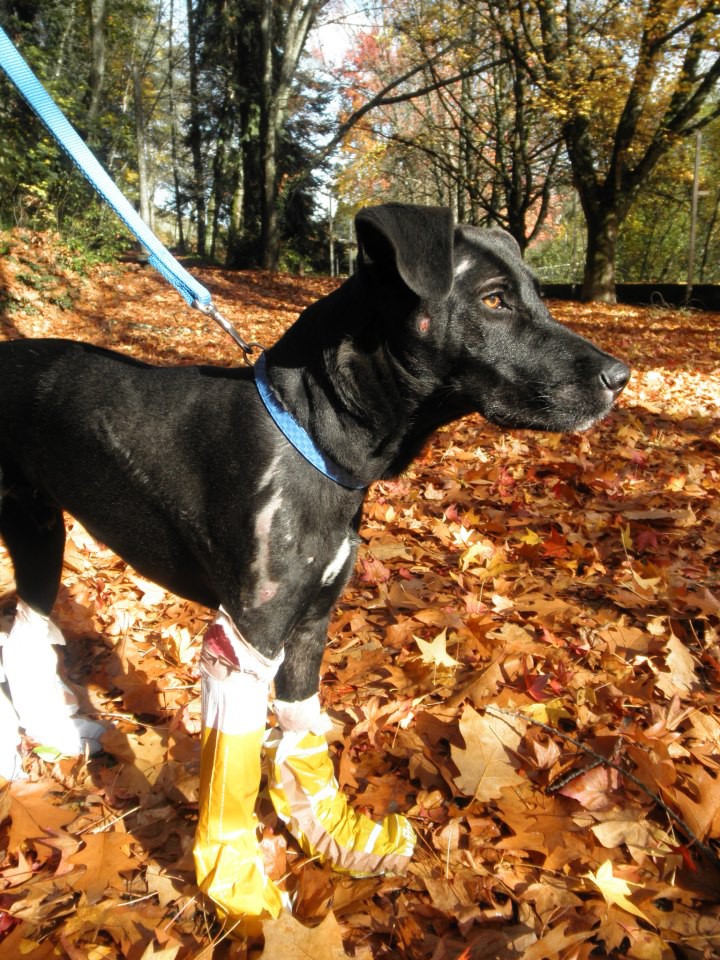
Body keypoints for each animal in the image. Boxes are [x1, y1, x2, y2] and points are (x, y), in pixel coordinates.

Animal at [0, 206, 628, 792]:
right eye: (495, 299)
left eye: (537, 294)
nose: (620, 377)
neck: (313, 434)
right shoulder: (249, 636)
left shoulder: (309, 623)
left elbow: (302, 732)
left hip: (39, 534)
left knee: (24, 637)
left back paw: (57, 734)